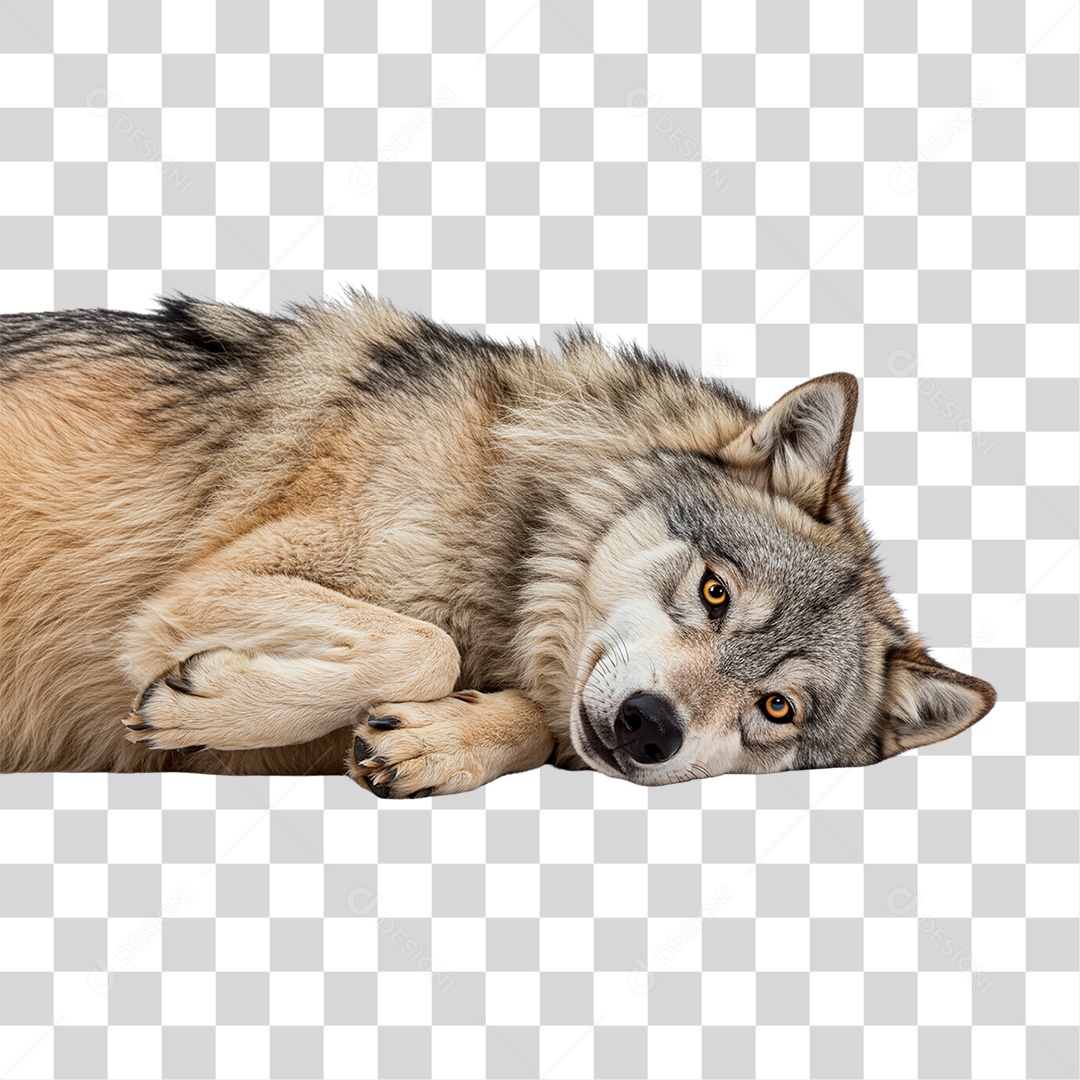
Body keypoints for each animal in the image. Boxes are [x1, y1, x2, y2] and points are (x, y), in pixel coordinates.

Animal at [0, 292, 995, 797]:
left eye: (776, 708)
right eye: (716, 593)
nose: (649, 726)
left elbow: (514, 712)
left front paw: (441, 743)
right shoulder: (194, 590)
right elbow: (426, 645)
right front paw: (206, 699)